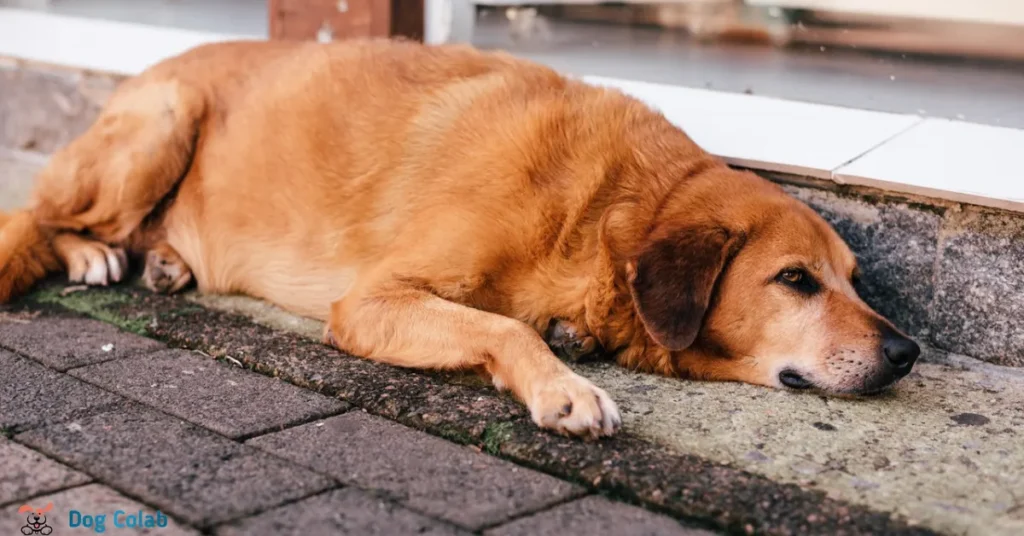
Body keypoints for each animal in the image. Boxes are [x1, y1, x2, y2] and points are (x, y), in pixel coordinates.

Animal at [0, 38, 921, 440]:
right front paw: (564, 389)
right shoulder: (372, 299)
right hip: (164, 119)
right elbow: (504, 326)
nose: (908, 352)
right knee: (40, 214)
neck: (602, 206)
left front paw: (571, 341)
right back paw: (97, 253)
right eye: (796, 280)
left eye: (855, 278)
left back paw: (160, 259)